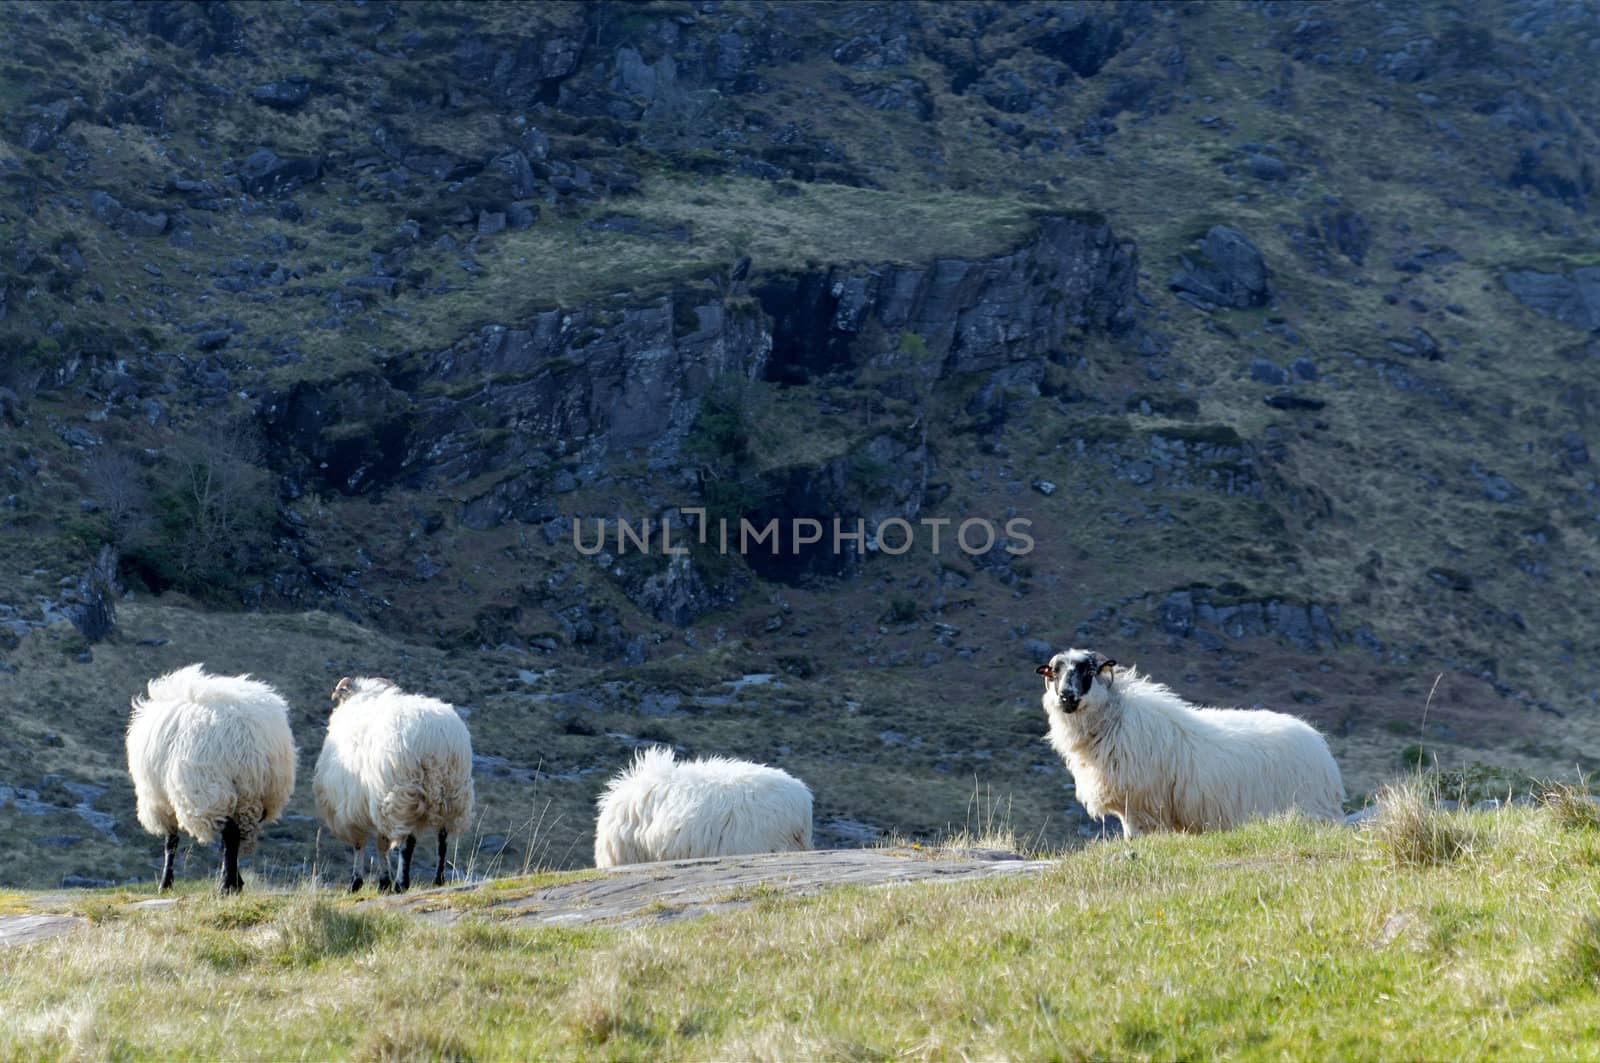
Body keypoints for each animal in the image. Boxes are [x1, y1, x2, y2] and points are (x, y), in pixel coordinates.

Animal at [125, 659, 300, 890]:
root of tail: (250, 742)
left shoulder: (160, 801)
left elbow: (170, 842)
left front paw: (165, 883)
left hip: (210, 789)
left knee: (230, 834)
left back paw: (226, 885)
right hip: (258, 793)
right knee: (236, 836)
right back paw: (233, 882)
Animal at [313, 675, 473, 890]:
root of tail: (436, 738)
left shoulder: (353, 808)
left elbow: (362, 844)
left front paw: (358, 882)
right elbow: (381, 843)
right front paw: (382, 882)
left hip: (403, 795)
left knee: (408, 843)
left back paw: (401, 883)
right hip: (452, 794)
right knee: (443, 839)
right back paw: (438, 880)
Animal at [1030, 646, 1344, 838]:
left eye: (1087, 671)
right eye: (1055, 672)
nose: (1066, 697)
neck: (1114, 717)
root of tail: (1321, 749)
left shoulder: (1141, 807)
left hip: (1309, 811)